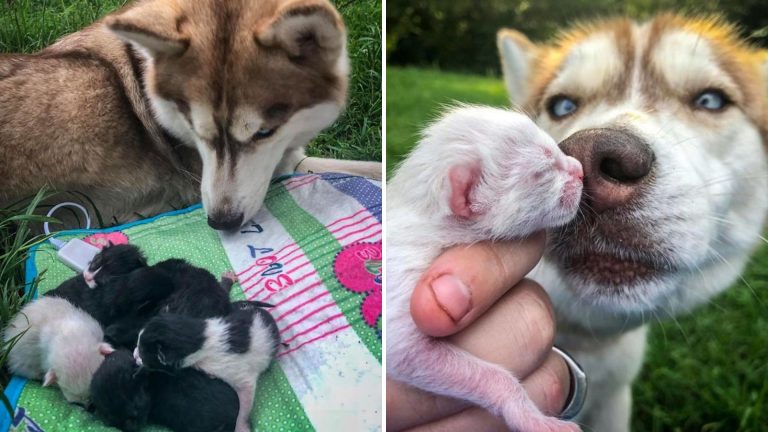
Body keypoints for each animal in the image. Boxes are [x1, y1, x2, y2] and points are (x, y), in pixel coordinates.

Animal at [134, 302, 280, 432]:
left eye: (142, 355)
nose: (134, 355)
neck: (199, 338)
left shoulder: (241, 377)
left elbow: (243, 407)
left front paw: (240, 427)